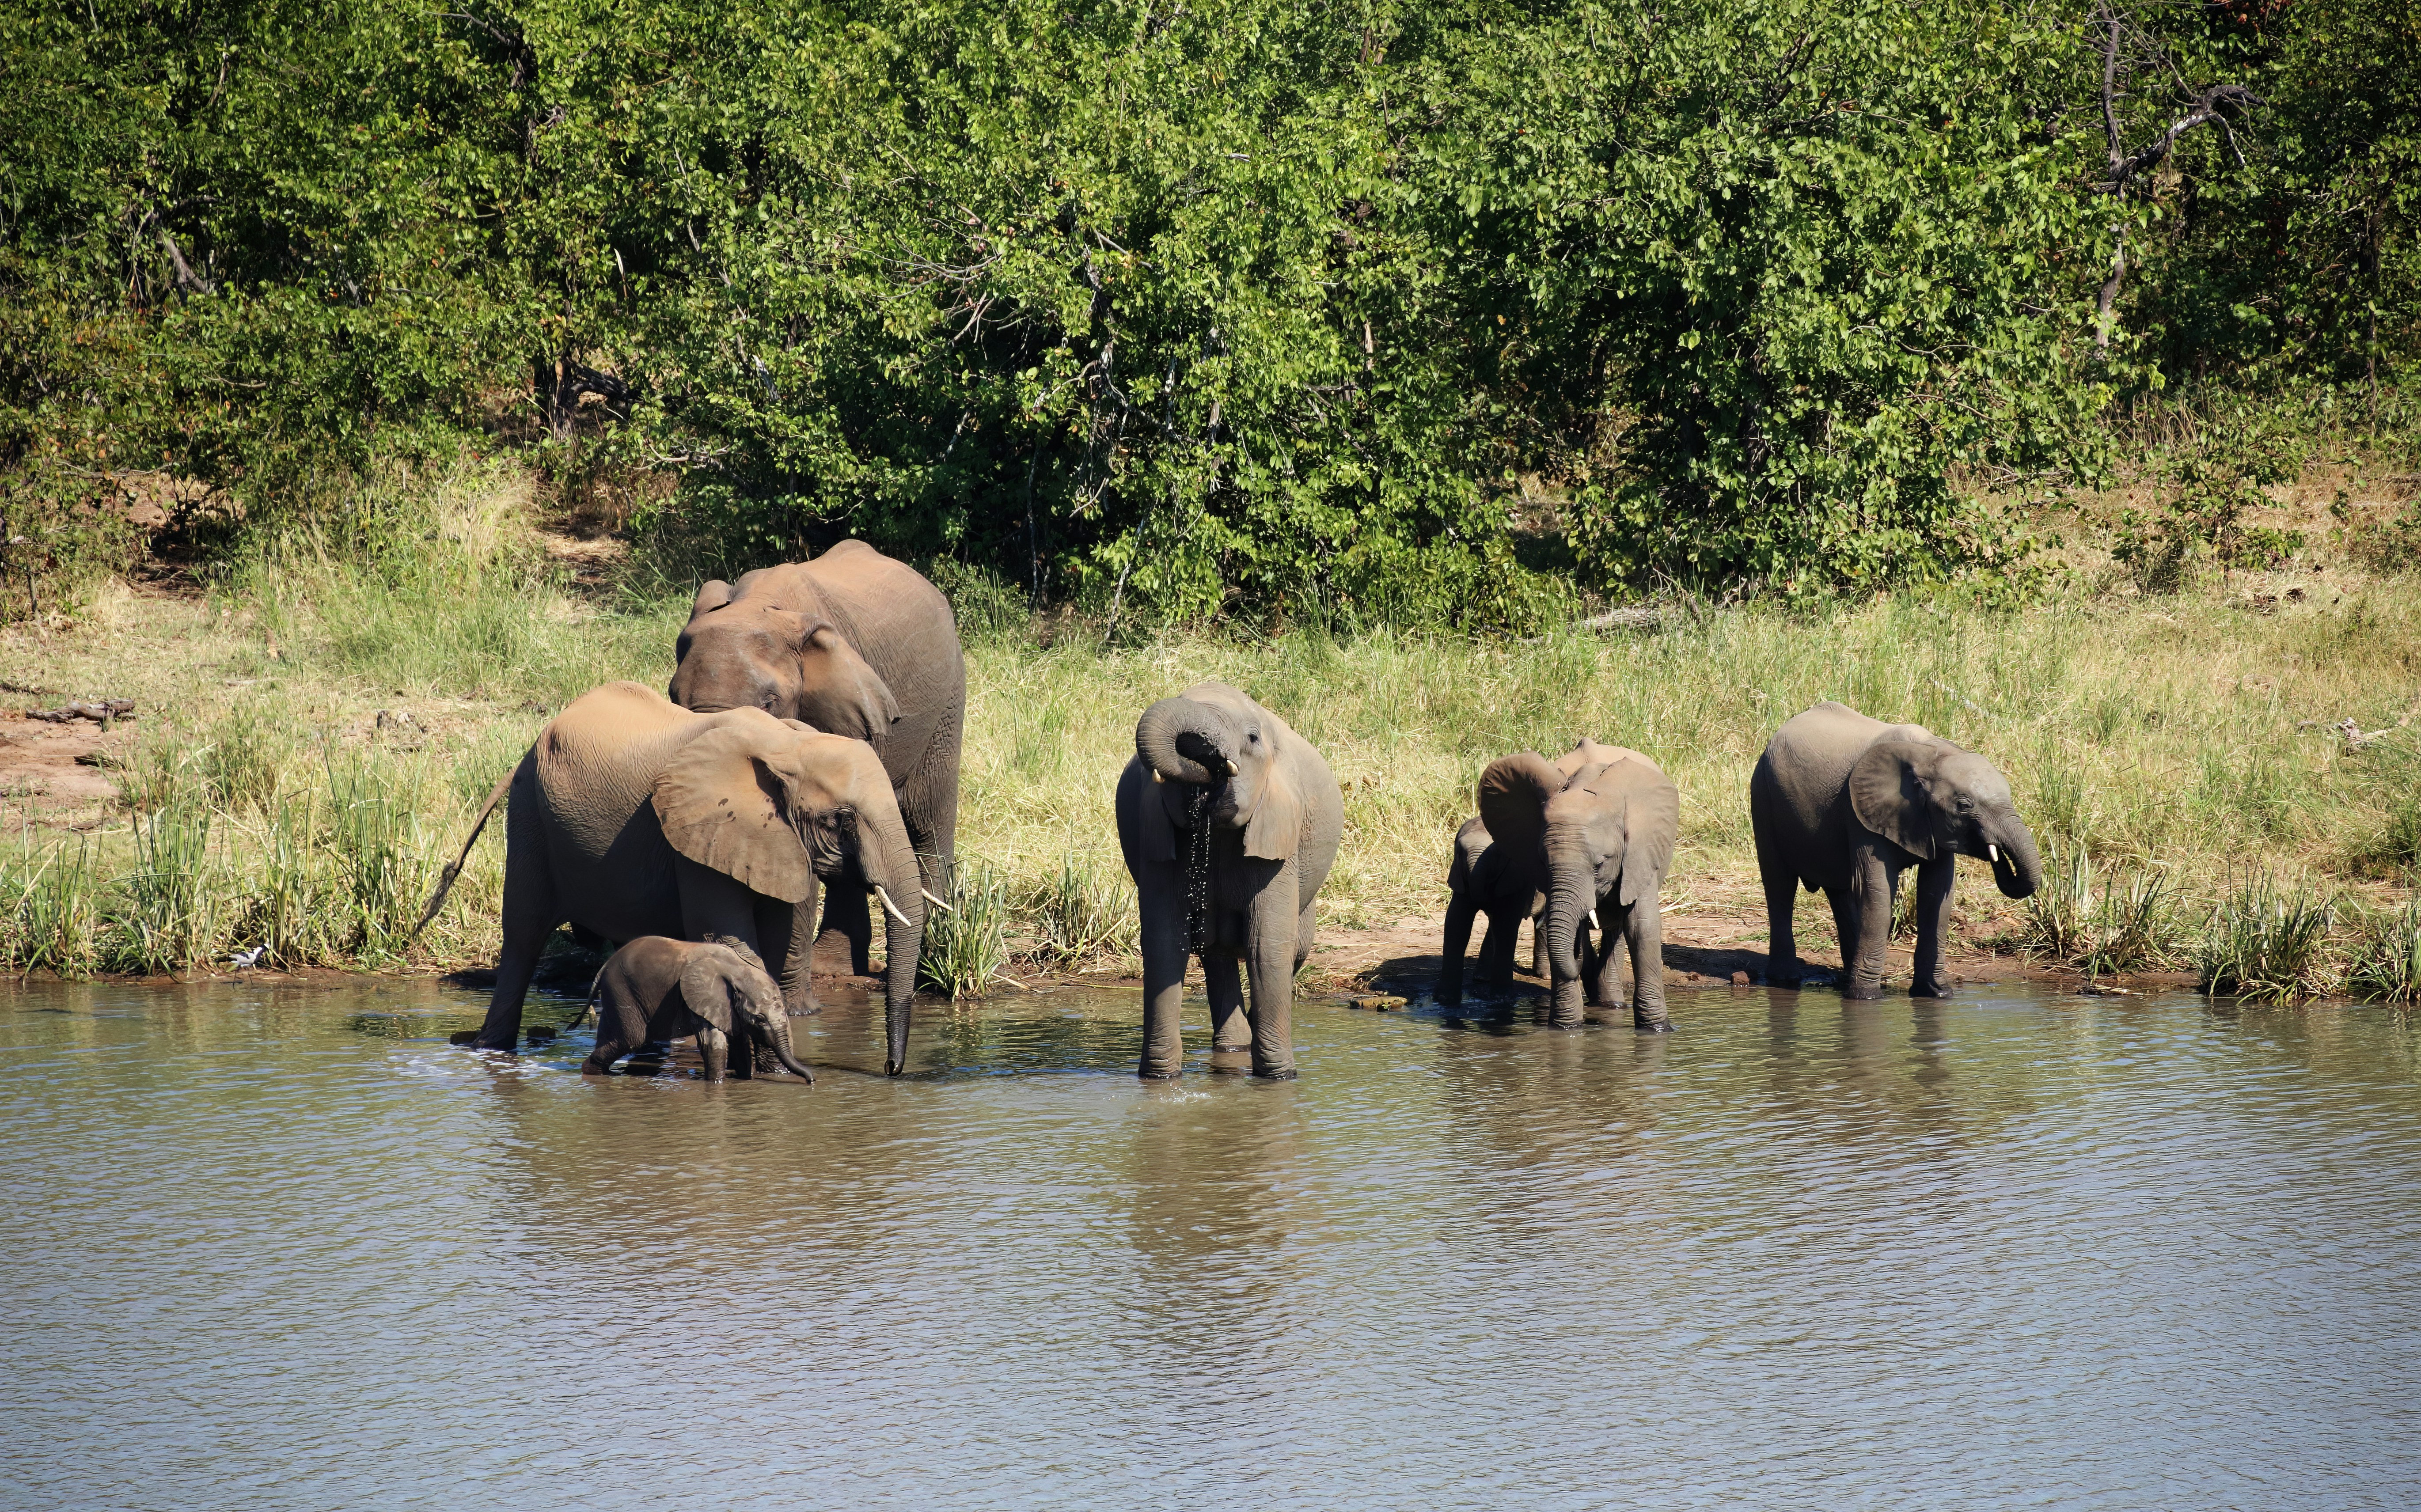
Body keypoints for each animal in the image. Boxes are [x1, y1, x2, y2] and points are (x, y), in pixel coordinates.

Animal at [573, 936, 814, 1083]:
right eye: (760, 1019)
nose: (811, 1080)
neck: (738, 970)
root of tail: (604, 965)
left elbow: (740, 1042)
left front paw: (746, 1079)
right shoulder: (699, 998)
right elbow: (713, 1042)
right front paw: (717, 1084)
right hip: (621, 989)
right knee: (632, 1039)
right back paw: (595, 1073)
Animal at [1115, 682, 1343, 1080]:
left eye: (1252, 738)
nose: (1211, 766)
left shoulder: (1278, 832)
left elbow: (1265, 944)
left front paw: (1279, 1078)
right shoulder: (1156, 838)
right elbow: (1164, 942)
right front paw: (1159, 1079)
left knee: (1294, 949)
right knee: (1214, 952)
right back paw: (1233, 1047)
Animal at [1439, 738, 1680, 1031]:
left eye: (1600, 864)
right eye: (1544, 862)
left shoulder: (1641, 851)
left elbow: (1641, 927)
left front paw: (1657, 1031)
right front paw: (1565, 1028)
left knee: (1617, 929)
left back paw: (1610, 1002)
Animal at [1750, 700, 2043, 1000]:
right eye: (1964, 806)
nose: (1994, 850)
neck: (1930, 753)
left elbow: (1938, 893)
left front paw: (1938, 994)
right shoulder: (1860, 812)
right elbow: (1878, 890)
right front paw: (1866, 998)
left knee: (1839, 892)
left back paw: (1845, 978)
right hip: (1762, 792)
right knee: (1780, 884)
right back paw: (1785, 980)